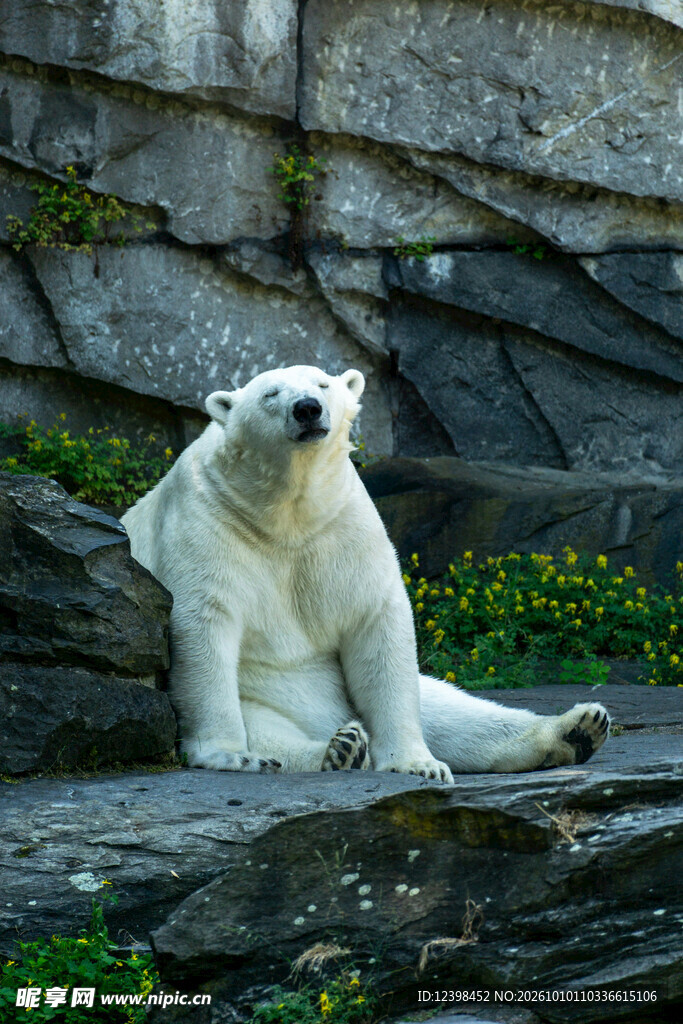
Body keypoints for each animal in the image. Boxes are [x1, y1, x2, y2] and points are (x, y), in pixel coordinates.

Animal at [121, 364, 610, 782]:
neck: (282, 513)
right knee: (272, 731)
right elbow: (204, 621)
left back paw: (578, 728)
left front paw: (417, 764)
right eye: (270, 394)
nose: (307, 409)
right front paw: (231, 755)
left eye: (322, 384)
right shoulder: (209, 519)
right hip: (264, 697)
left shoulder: (341, 528)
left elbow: (376, 624)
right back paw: (339, 748)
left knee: (452, 711)